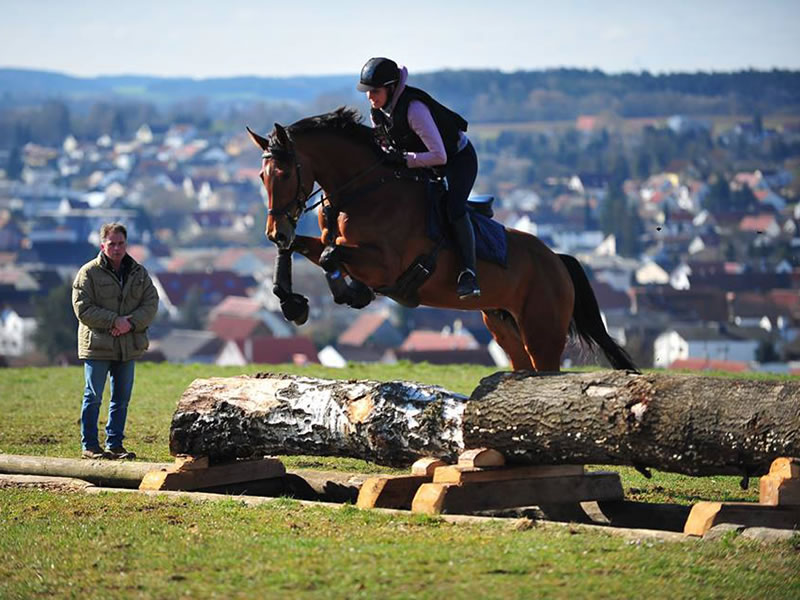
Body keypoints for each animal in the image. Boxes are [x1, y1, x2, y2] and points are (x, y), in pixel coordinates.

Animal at [247, 105, 636, 372]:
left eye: (284, 174)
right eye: (263, 176)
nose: (274, 231)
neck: (363, 191)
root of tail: (557, 260)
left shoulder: (384, 265)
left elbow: (331, 256)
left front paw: (351, 293)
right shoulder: (332, 244)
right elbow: (302, 248)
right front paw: (292, 302)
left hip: (543, 331)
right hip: (501, 322)